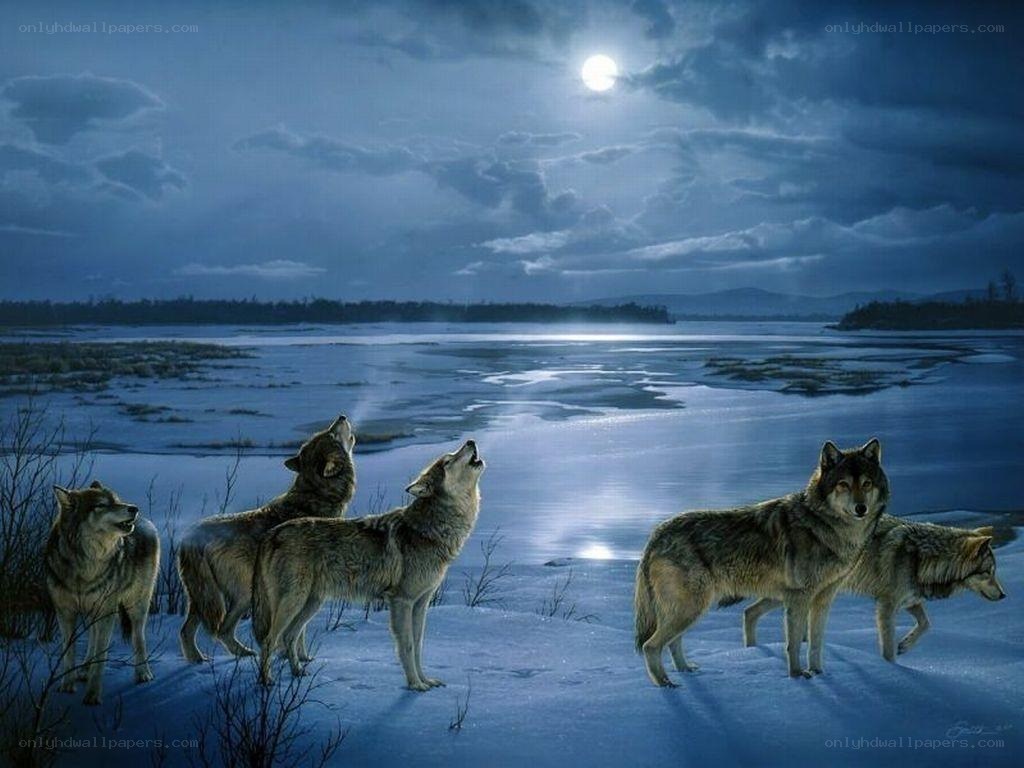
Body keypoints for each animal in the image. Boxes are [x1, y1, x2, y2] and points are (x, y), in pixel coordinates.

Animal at [45, 481, 159, 705]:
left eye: (117, 500)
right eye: (102, 505)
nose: (134, 508)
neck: (86, 565)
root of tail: (146, 522)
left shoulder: (107, 611)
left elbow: (101, 656)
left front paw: (92, 695)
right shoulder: (65, 611)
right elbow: (69, 652)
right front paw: (67, 686)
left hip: (137, 606)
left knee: (138, 637)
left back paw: (143, 673)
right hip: (93, 612)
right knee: (92, 636)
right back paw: (84, 670)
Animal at [178, 414, 356, 663]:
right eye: (331, 434)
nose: (342, 416)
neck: (316, 495)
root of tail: (191, 534)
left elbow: (298, 630)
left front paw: (302, 658)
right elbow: (297, 631)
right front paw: (295, 658)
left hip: (203, 598)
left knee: (187, 630)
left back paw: (198, 660)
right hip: (242, 595)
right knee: (222, 629)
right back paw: (242, 653)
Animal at [253, 439, 485, 689]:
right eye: (449, 460)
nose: (471, 441)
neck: (429, 531)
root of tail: (272, 533)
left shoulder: (421, 603)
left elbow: (418, 645)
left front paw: (425, 681)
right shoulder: (402, 601)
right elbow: (407, 646)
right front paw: (414, 685)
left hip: (311, 603)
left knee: (289, 636)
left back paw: (297, 672)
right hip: (293, 602)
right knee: (269, 640)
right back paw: (266, 682)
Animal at [634, 439, 888, 686]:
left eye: (866, 484)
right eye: (843, 484)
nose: (861, 508)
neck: (823, 526)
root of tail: (655, 535)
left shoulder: (823, 599)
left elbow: (816, 643)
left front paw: (818, 673)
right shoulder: (799, 597)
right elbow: (794, 643)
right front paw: (797, 676)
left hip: (692, 609)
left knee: (673, 642)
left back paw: (685, 671)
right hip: (691, 607)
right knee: (651, 646)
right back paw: (665, 684)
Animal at [740, 516, 1005, 660]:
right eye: (988, 572)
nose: (1004, 595)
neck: (922, 558)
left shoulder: (909, 600)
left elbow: (926, 623)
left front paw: (905, 645)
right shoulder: (886, 606)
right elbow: (887, 647)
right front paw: (892, 667)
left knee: (751, 612)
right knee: (749, 612)